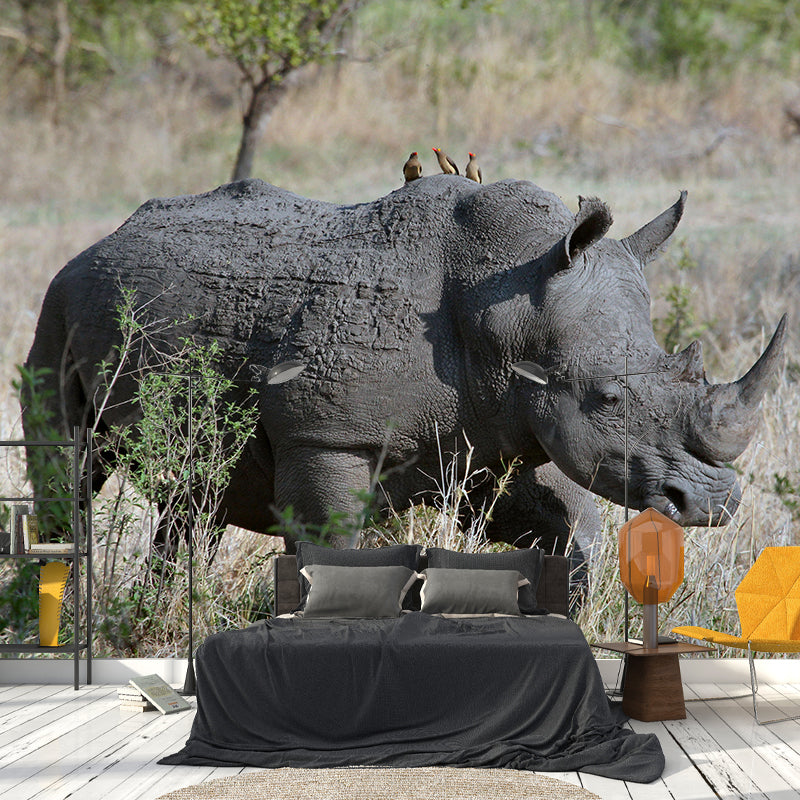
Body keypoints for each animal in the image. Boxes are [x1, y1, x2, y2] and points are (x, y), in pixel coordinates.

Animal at [23, 176, 785, 560]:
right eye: (607, 396)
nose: (715, 505)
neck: (510, 304)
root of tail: (100, 241)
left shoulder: (495, 430)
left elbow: (570, 534)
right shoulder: (327, 437)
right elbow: (332, 544)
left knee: (193, 499)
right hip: (57, 303)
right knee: (70, 469)